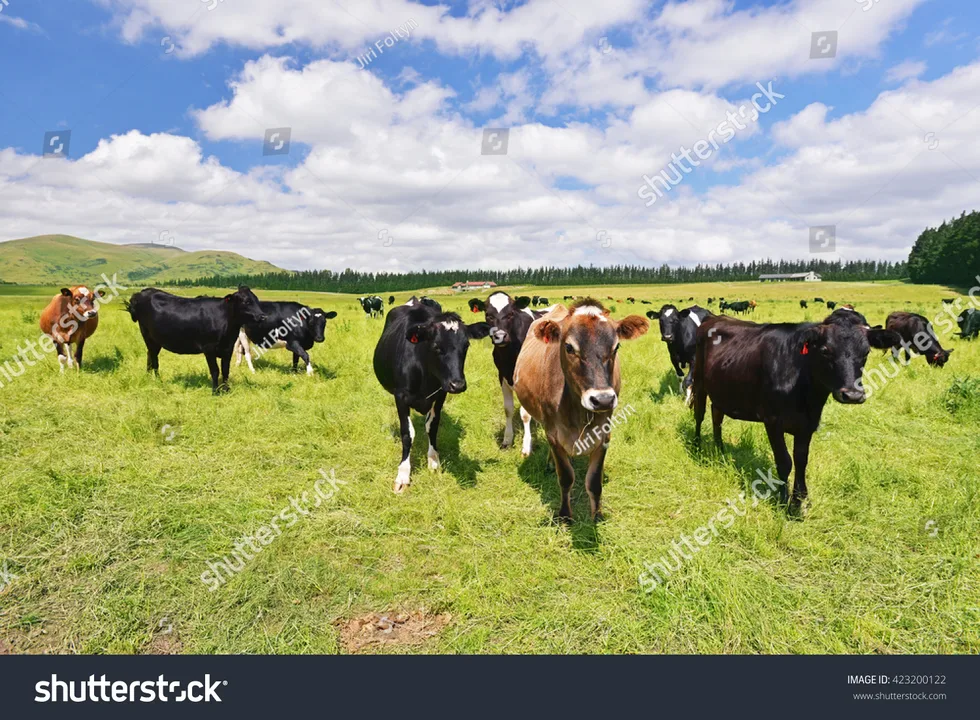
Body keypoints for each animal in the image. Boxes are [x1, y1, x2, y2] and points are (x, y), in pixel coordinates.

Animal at [125, 286, 266, 393]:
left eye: (256, 300)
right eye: (246, 302)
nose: (263, 316)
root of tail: (143, 292)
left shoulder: (228, 348)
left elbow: (225, 371)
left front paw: (226, 390)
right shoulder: (209, 348)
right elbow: (215, 370)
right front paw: (215, 392)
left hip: (155, 340)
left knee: (149, 356)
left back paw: (149, 378)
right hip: (148, 336)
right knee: (154, 359)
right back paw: (159, 381)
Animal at [373, 297, 490, 492]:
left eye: (466, 345)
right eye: (436, 346)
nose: (458, 384)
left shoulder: (441, 394)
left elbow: (432, 426)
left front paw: (434, 461)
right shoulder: (400, 397)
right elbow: (407, 433)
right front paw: (403, 474)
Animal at [514, 300, 649, 520]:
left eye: (616, 346)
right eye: (569, 347)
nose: (602, 400)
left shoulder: (604, 435)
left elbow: (594, 482)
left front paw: (597, 516)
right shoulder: (553, 434)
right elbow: (566, 477)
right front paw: (565, 515)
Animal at [692, 312, 899, 514]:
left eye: (866, 352)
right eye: (825, 350)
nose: (853, 394)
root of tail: (715, 317)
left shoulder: (808, 424)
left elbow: (801, 460)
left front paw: (801, 499)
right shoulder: (772, 421)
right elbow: (784, 461)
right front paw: (784, 502)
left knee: (716, 414)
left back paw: (720, 449)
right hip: (699, 380)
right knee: (699, 414)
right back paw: (697, 447)